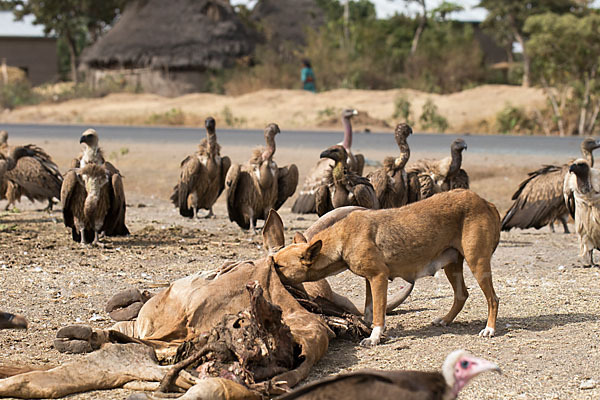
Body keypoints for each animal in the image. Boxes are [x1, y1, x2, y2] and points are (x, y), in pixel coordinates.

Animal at [274, 189, 502, 346]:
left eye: (278, 265)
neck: (343, 238)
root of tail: (486, 202)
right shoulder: (369, 280)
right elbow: (369, 309)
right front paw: (368, 327)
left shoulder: (378, 277)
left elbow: (378, 311)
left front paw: (374, 337)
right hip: (452, 266)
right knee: (461, 295)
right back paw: (445, 320)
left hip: (477, 263)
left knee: (493, 299)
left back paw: (489, 329)